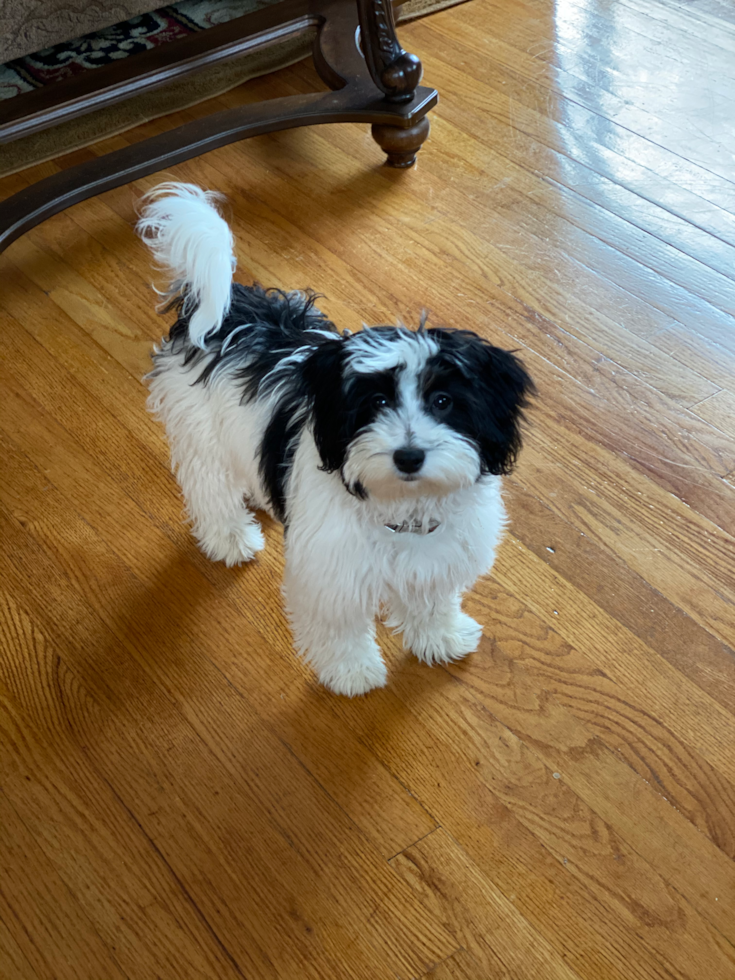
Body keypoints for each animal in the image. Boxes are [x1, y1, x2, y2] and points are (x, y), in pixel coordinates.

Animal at [137, 182, 536, 696]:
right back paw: (229, 538)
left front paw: (441, 638)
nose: (409, 456)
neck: (401, 507)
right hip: (202, 434)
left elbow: (430, 601)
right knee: (210, 489)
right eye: (376, 402)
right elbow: (339, 626)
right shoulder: (332, 574)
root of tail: (228, 309)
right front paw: (352, 672)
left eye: (443, 401)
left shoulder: (435, 560)